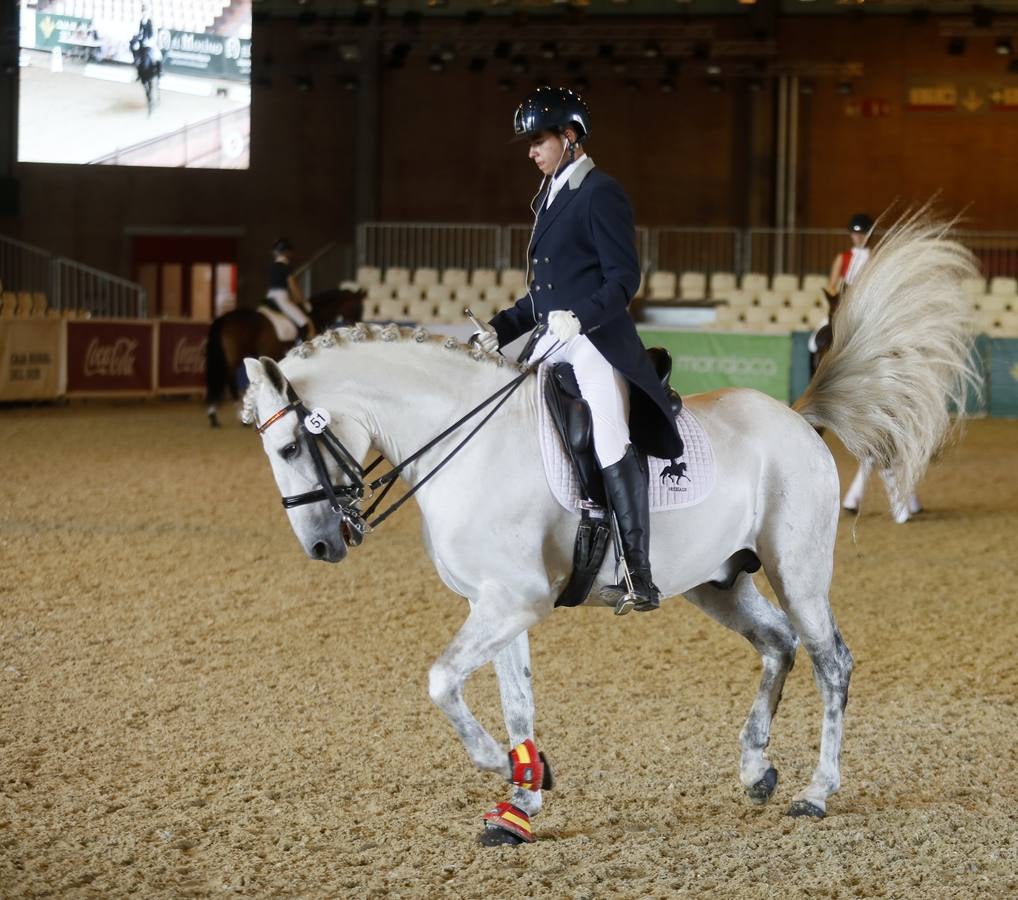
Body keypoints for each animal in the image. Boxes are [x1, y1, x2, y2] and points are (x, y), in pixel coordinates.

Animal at [204, 289, 364, 429]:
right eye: (358, 307)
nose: (356, 327)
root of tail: (223, 318)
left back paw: (215, 416)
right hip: (234, 358)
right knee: (227, 379)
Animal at [242, 214, 981, 847]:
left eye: (289, 448)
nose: (320, 545)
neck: (467, 439)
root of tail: (798, 417)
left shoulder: (514, 600)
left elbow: (441, 680)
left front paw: (500, 767)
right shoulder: (499, 603)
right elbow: (517, 701)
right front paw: (521, 802)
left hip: (797, 569)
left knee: (832, 661)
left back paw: (816, 791)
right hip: (719, 580)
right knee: (779, 644)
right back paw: (756, 769)